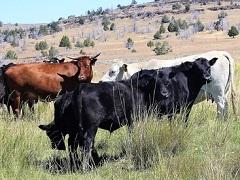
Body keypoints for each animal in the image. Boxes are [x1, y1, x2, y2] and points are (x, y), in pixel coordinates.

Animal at [38, 57, 217, 169]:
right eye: (155, 82)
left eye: (167, 82)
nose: (165, 93)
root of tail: (80, 90)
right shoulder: (140, 118)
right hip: (90, 128)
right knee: (86, 144)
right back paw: (86, 166)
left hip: (78, 129)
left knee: (75, 145)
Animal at [100, 50, 235, 118]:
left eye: (112, 71)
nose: (101, 81)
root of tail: (221, 53)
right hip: (224, 92)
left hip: (217, 93)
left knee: (221, 107)